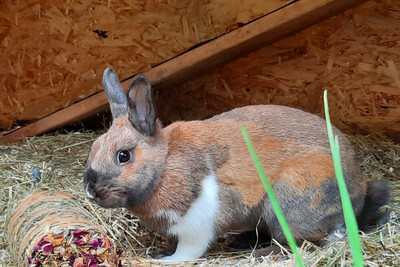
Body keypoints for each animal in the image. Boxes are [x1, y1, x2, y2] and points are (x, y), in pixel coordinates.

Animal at [82, 67, 390, 262]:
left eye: (124, 156)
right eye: (94, 148)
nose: (90, 189)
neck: (165, 164)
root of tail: (359, 193)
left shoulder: (198, 221)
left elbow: (188, 250)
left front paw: (165, 260)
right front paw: (162, 252)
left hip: (289, 202)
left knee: (297, 242)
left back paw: (259, 253)